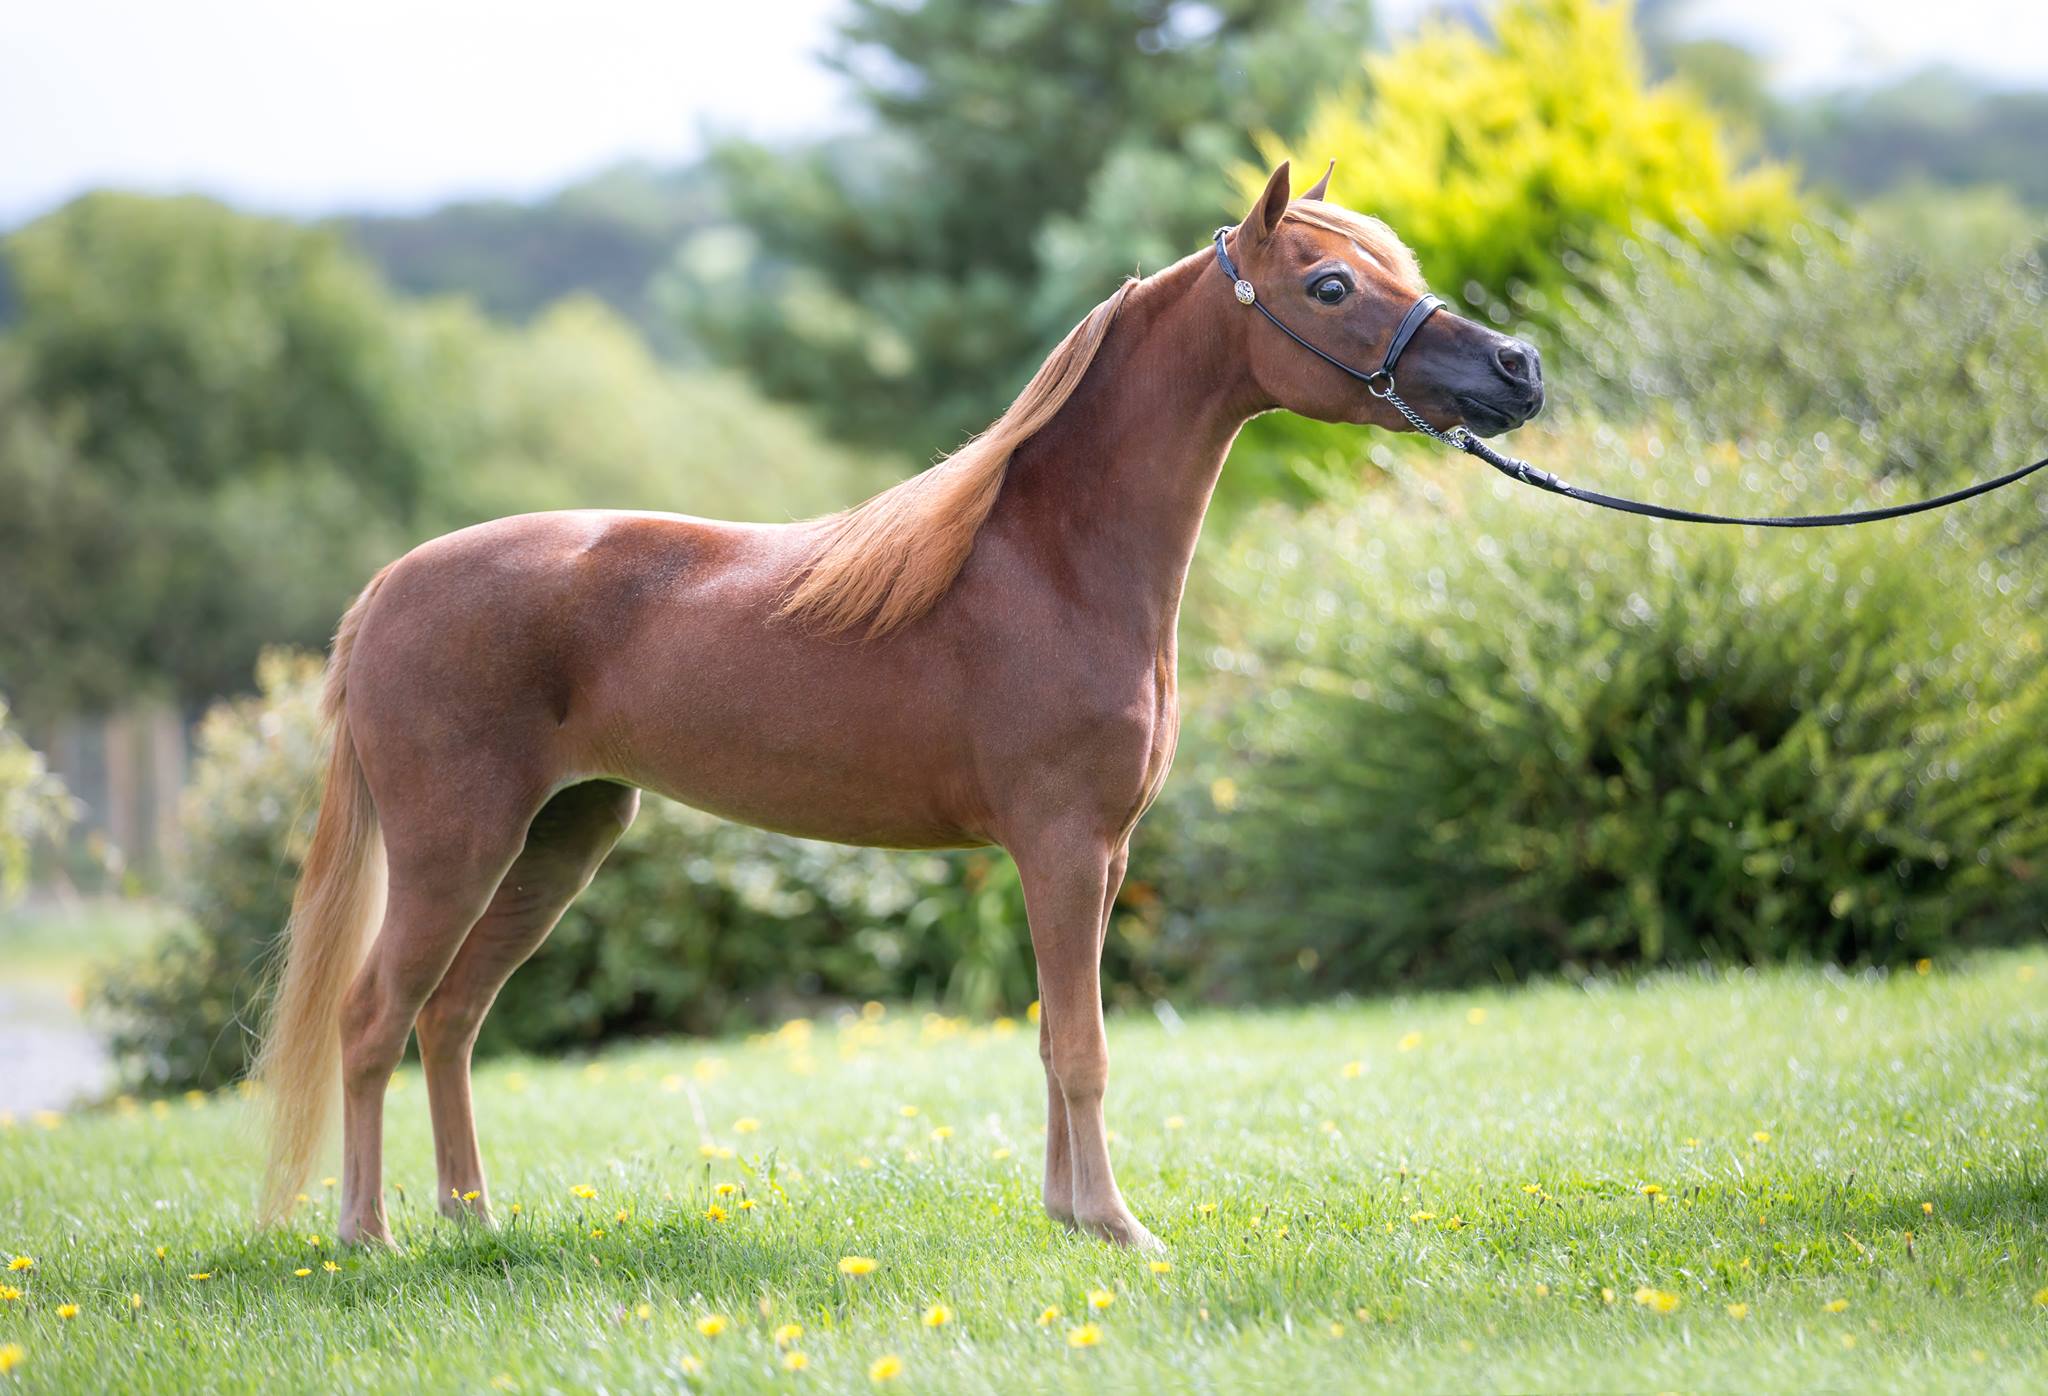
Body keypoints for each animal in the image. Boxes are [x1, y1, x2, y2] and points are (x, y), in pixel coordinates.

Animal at [257, 160, 1543, 1252]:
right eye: (1329, 285)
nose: (1515, 369)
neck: (1053, 565)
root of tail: (387, 588)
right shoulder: (1061, 846)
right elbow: (1084, 1045)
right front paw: (1118, 1227)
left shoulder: (1100, 856)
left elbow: (1049, 1034)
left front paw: (1068, 1217)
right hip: (454, 846)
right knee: (372, 1018)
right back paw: (368, 1239)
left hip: (558, 841)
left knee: (452, 1016)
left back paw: (473, 1221)